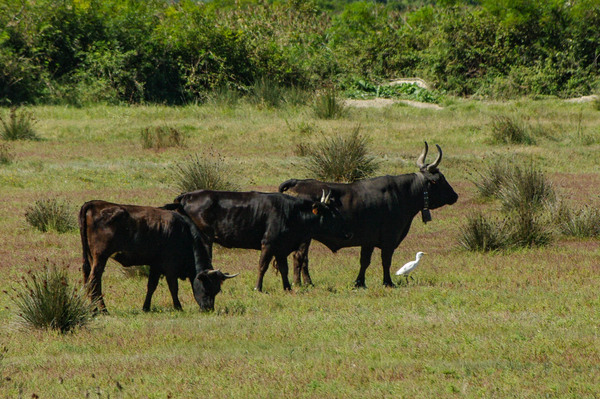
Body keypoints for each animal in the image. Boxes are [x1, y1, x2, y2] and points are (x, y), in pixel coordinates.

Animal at [78, 200, 238, 312]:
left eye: (217, 290)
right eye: (206, 287)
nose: (208, 309)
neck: (183, 232)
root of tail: (93, 204)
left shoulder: (155, 265)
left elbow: (151, 286)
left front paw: (146, 307)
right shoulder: (170, 267)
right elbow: (173, 287)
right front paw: (178, 307)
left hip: (90, 258)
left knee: (89, 279)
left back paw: (92, 309)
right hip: (100, 257)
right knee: (94, 281)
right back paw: (102, 310)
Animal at [173, 189, 352, 292]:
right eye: (333, 215)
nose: (347, 233)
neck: (291, 212)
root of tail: (187, 196)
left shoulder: (281, 248)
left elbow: (284, 268)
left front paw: (287, 287)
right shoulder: (268, 244)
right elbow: (262, 266)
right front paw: (258, 287)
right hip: (204, 239)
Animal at [278, 142, 458, 290]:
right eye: (441, 179)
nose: (455, 196)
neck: (401, 193)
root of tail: (297, 182)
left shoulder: (368, 241)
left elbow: (364, 261)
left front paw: (360, 283)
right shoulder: (389, 239)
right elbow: (386, 260)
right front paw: (388, 282)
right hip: (304, 239)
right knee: (299, 257)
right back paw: (301, 283)